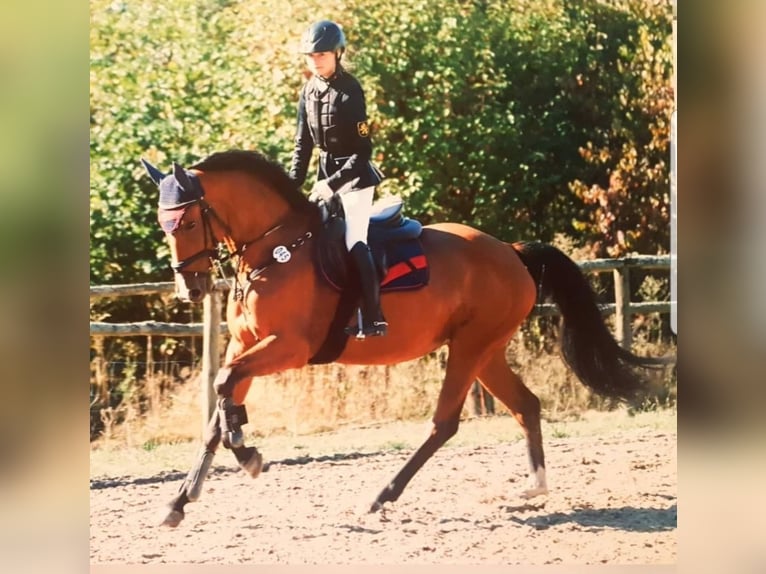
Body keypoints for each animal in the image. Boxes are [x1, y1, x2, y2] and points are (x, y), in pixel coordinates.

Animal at [142, 151, 664, 528]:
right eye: (163, 223)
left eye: (188, 222)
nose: (189, 288)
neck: (274, 249)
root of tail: (511, 252)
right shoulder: (244, 345)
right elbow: (217, 408)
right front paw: (180, 501)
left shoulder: (288, 348)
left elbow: (224, 387)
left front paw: (248, 454)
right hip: (485, 351)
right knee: (526, 406)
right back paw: (534, 489)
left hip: (470, 348)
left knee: (444, 424)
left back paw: (380, 496)